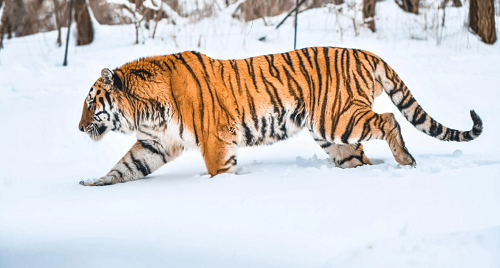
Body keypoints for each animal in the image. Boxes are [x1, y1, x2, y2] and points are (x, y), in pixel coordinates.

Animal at [77, 46, 480, 186]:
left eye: (91, 102)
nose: (79, 128)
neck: (145, 113)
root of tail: (365, 52)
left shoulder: (214, 139)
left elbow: (218, 170)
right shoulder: (155, 144)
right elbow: (125, 167)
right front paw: (94, 184)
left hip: (337, 119)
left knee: (389, 120)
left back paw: (406, 160)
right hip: (334, 137)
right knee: (359, 157)